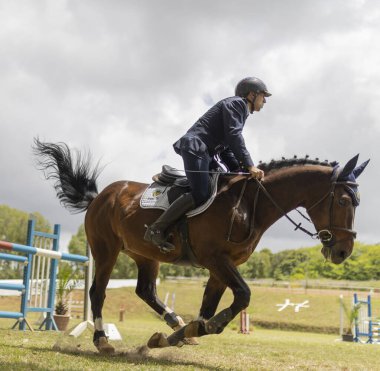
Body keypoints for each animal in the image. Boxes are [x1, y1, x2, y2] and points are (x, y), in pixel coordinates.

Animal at [33, 140, 368, 354]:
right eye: (343, 201)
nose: (343, 252)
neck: (250, 204)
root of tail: (100, 195)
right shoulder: (216, 259)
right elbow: (241, 297)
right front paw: (196, 330)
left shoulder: (221, 268)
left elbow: (208, 310)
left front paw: (180, 334)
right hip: (106, 250)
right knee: (98, 292)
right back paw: (102, 341)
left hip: (145, 255)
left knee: (146, 291)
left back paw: (173, 321)